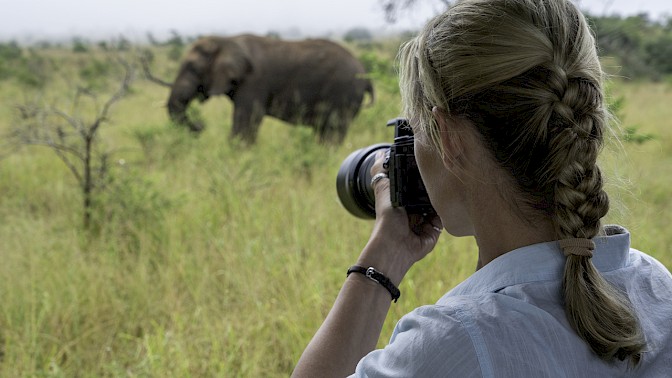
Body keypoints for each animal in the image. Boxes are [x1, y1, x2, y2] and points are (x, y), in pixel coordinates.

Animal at [164, 34, 372, 144]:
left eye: (192, 68)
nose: (200, 126)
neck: (226, 40)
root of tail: (366, 75)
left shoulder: (254, 81)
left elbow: (246, 121)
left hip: (344, 92)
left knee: (332, 132)